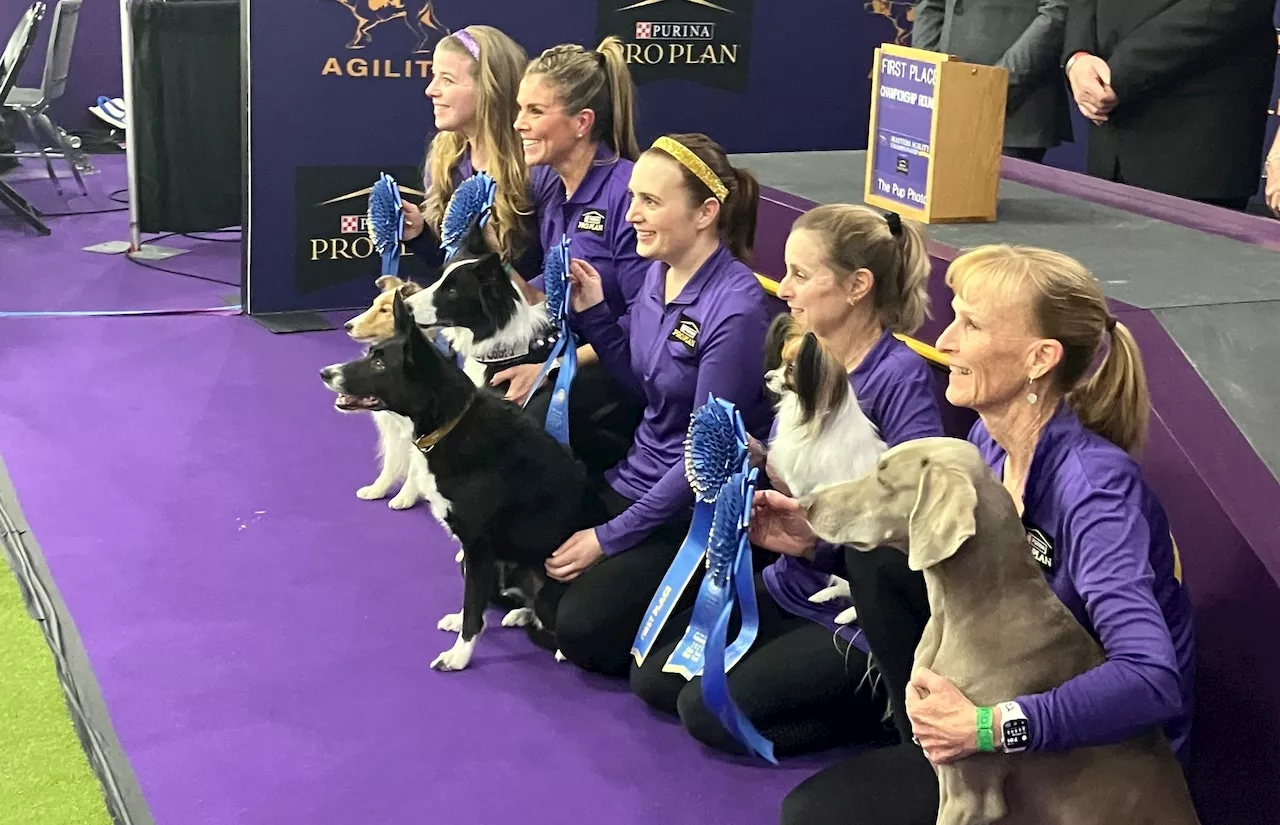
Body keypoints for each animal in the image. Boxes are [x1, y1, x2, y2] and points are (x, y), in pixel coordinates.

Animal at [320, 289, 599, 670]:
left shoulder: (479, 545)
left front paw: (458, 656)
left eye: (379, 363)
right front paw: (461, 627)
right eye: (369, 354)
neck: (450, 425)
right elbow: (473, 604)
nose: (324, 373)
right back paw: (518, 615)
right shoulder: (475, 554)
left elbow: (473, 609)